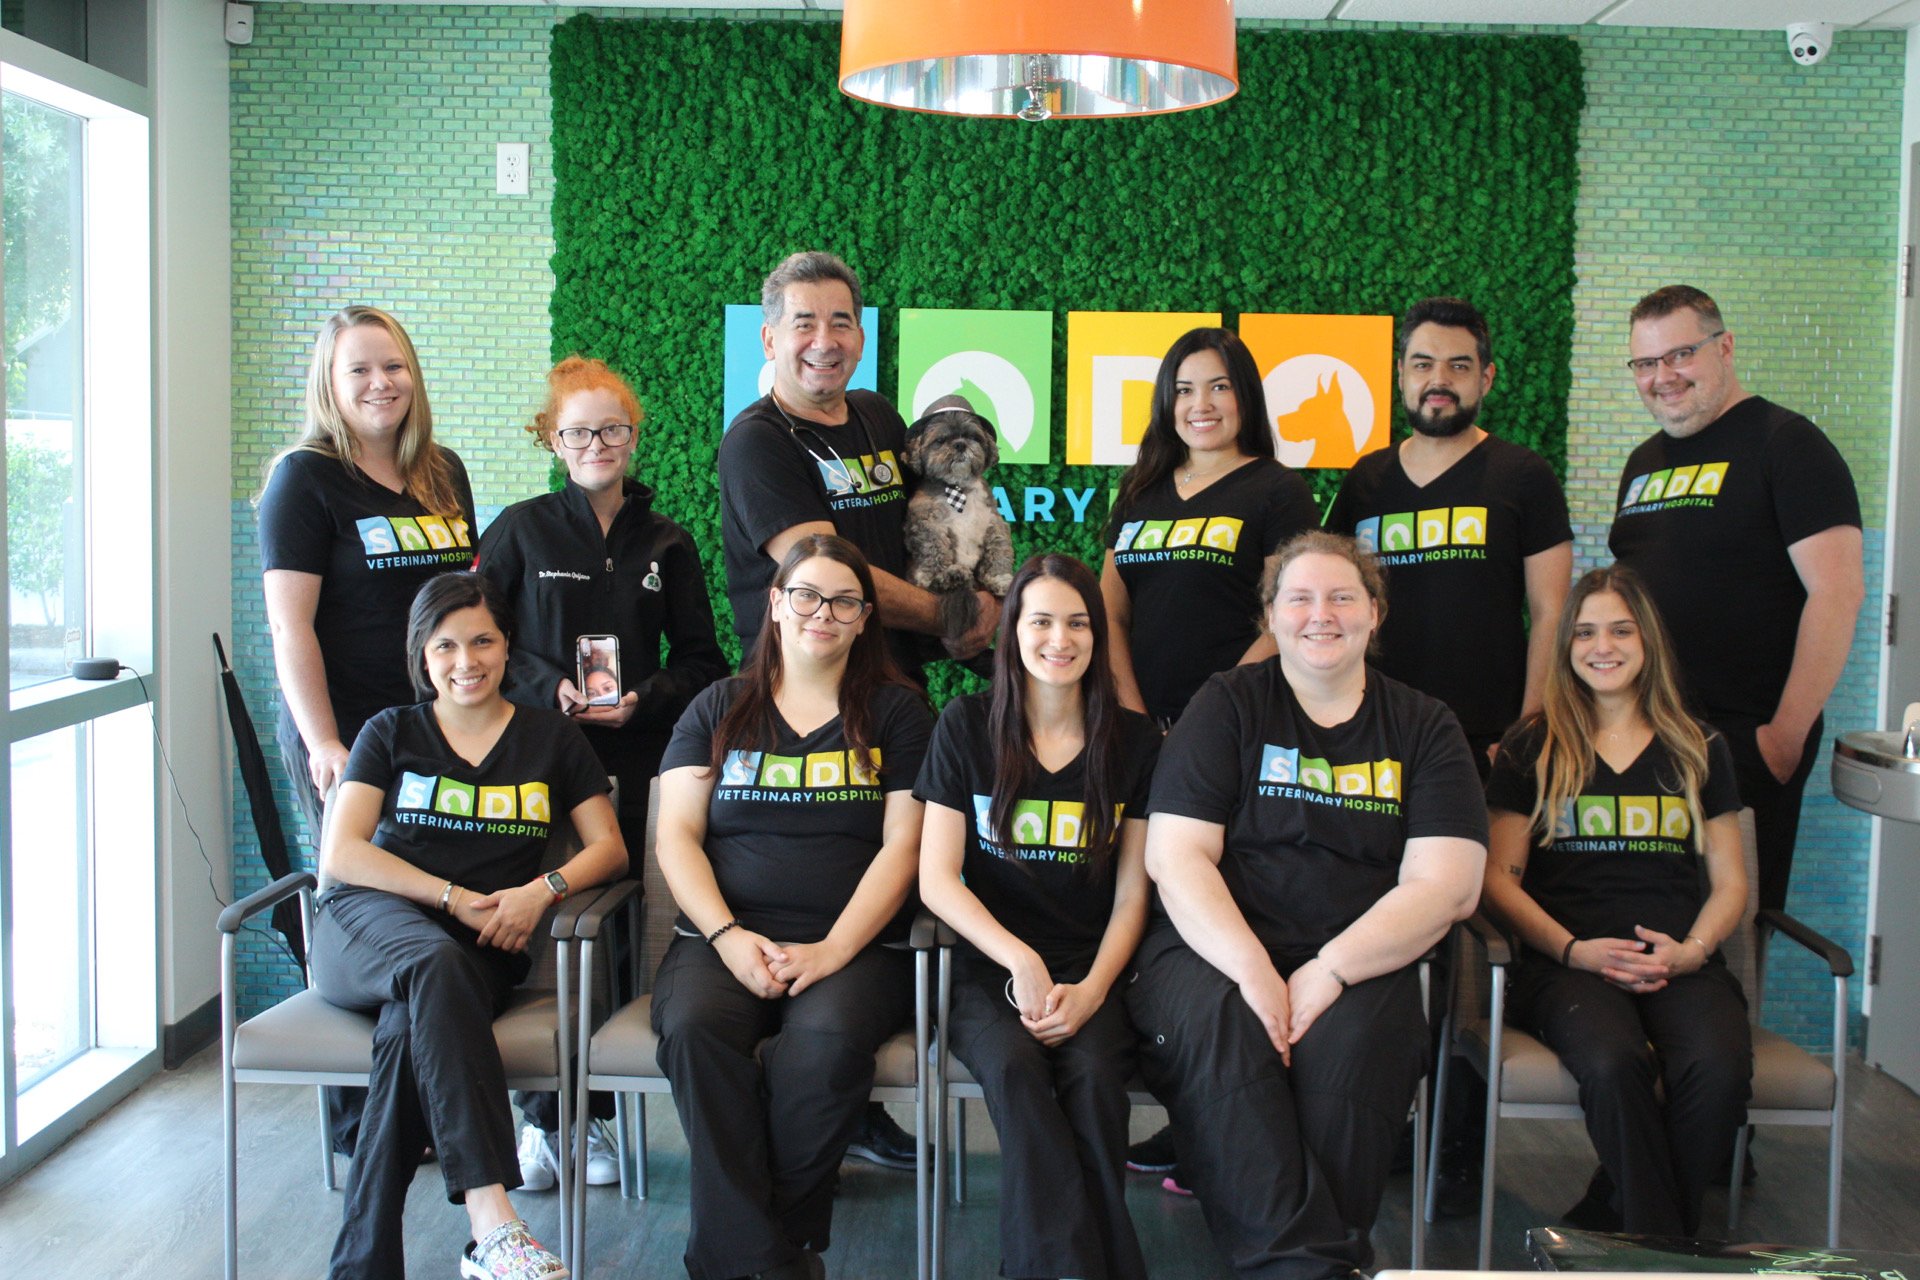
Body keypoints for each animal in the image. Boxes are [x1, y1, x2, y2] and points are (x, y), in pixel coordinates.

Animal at [902, 395, 1021, 644]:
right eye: (940, 440)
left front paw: (1001, 580)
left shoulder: (993, 523)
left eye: (972, 436)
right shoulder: (927, 525)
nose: (960, 444)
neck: (958, 489)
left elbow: (999, 553)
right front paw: (943, 572)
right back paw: (951, 578)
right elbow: (935, 551)